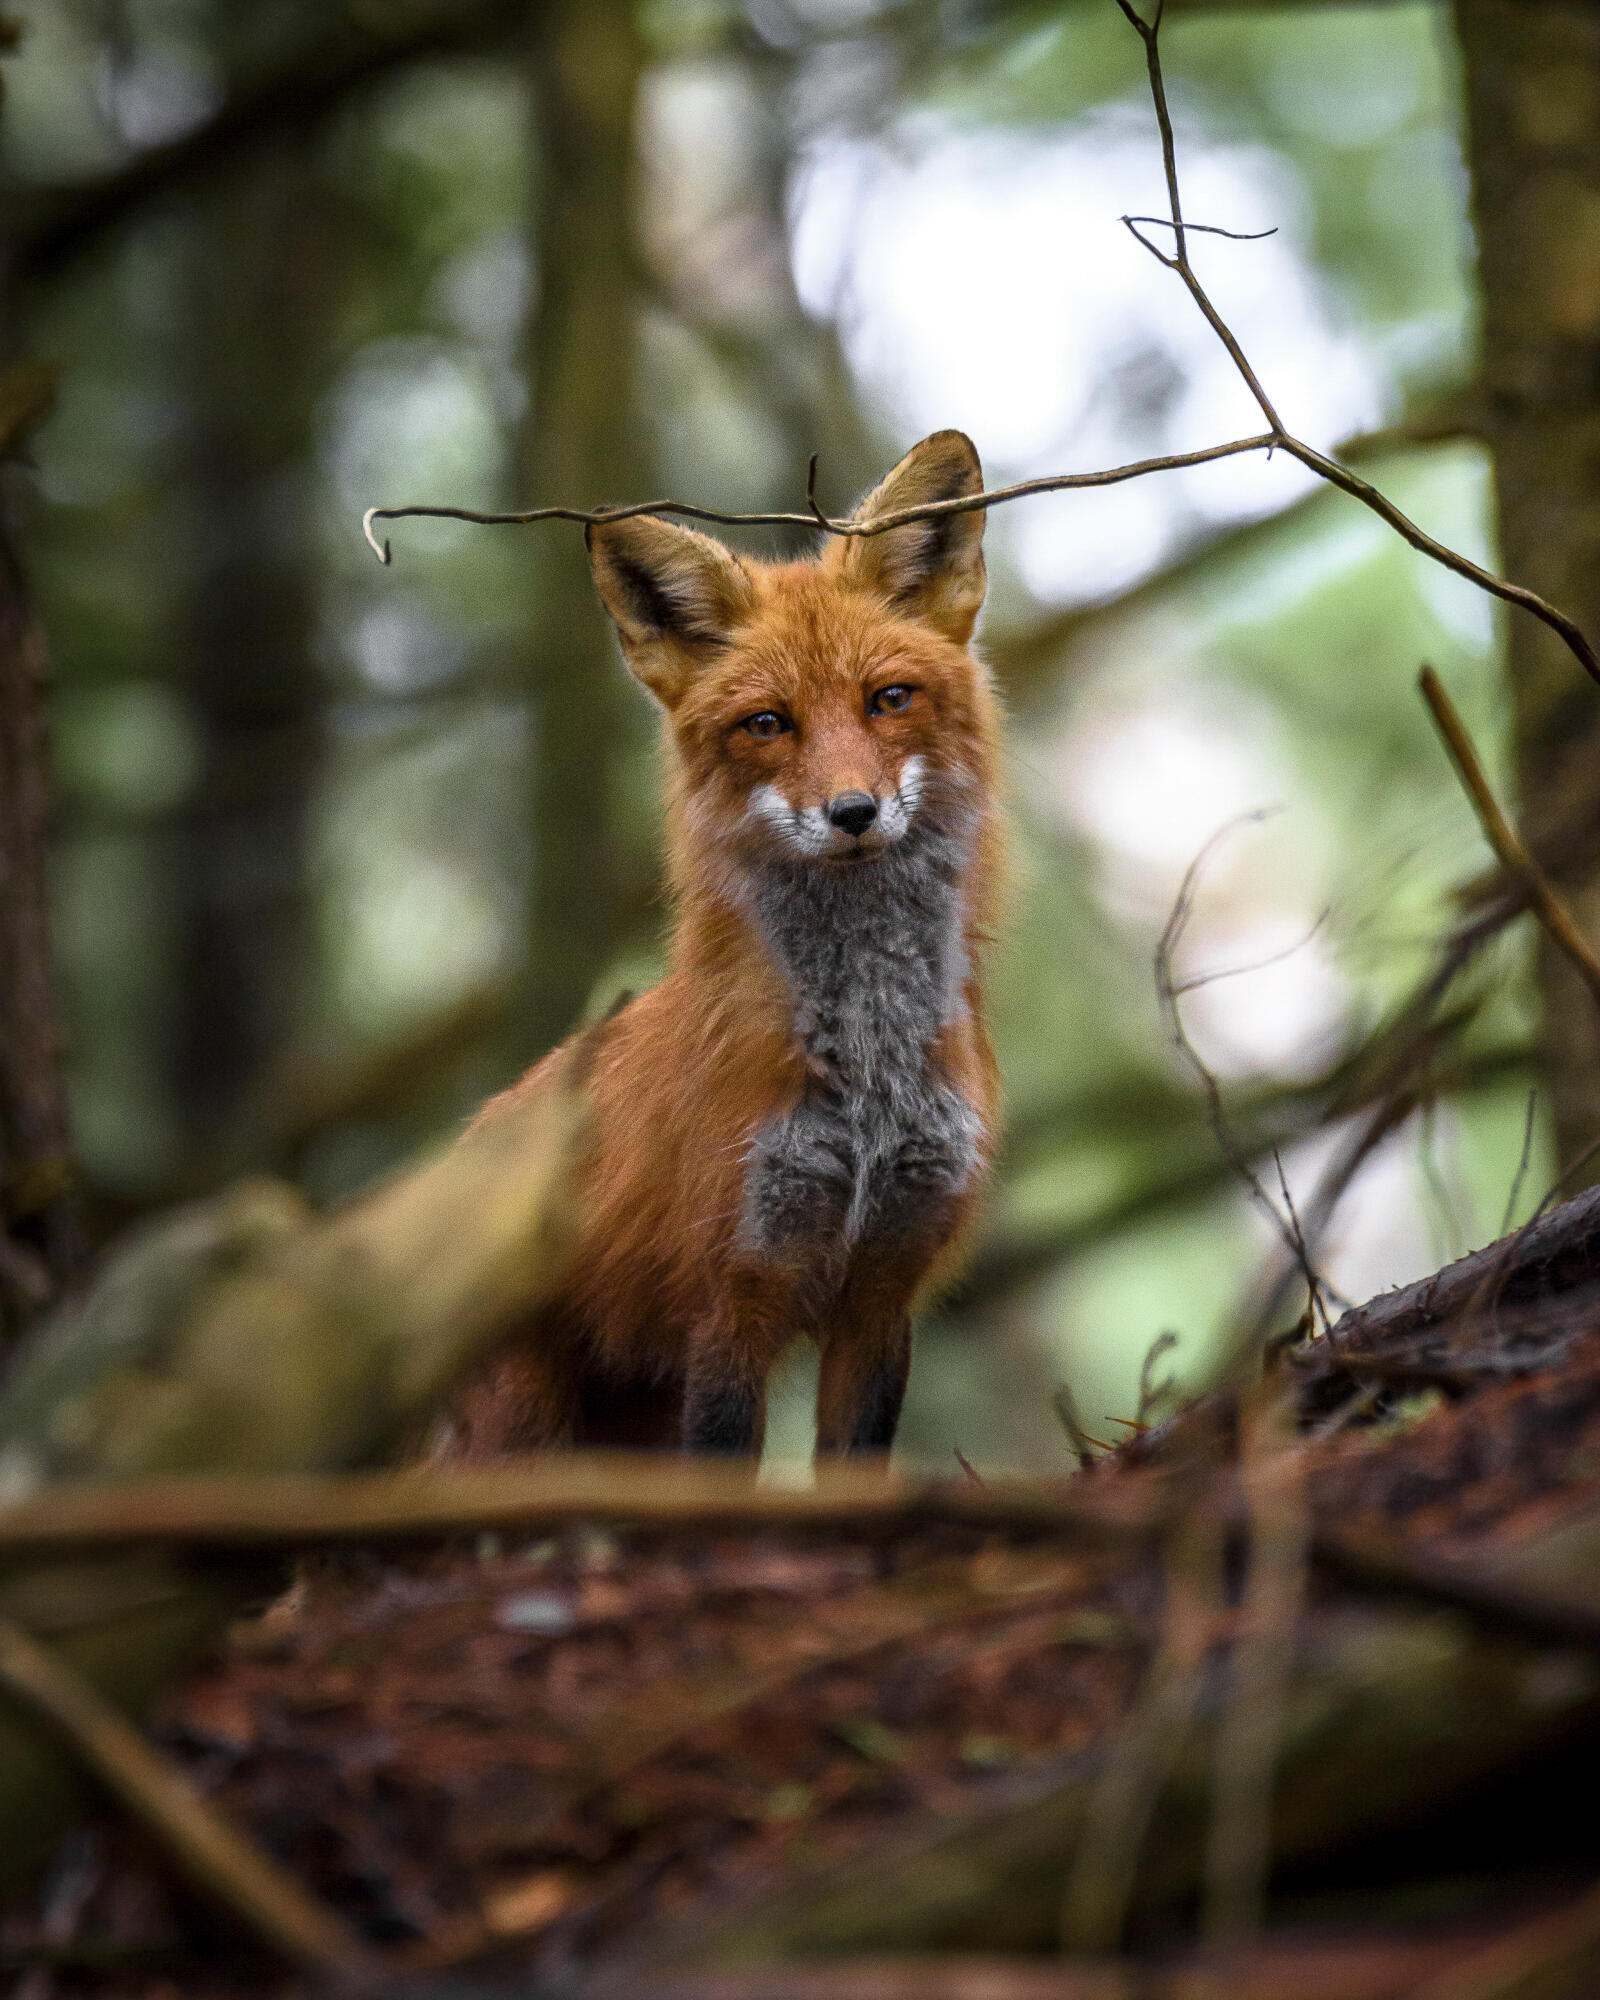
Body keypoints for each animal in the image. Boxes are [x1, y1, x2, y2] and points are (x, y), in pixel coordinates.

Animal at [453, 429, 1004, 1461]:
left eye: (889, 699)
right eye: (767, 724)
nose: (853, 812)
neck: (870, 1085)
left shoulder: (884, 1289)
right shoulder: (731, 1296)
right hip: (523, 1421)